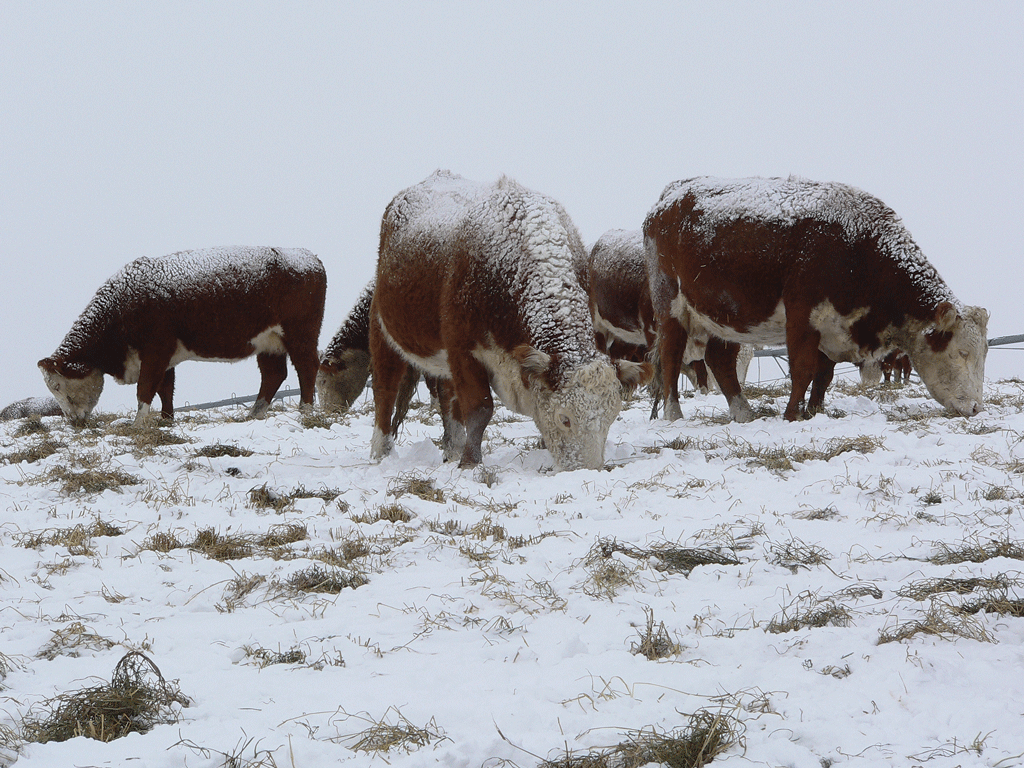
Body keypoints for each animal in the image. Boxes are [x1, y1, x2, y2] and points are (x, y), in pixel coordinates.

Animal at [39, 246, 327, 426]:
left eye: (57, 386)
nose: (72, 421)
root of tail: (309, 257)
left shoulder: (155, 351)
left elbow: (146, 389)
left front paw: (138, 424)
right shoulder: (165, 356)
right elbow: (165, 389)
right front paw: (167, 420)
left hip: (300, 335)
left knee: (307, 368)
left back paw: (305, 411)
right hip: (268, 343)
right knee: (273, 375)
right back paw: (253, 415)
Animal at [369, 170, 650, 471]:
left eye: (610, 418)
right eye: (565, 419)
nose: (587, 470)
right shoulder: (463, 348)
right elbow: (480, 408)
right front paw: (470, 463)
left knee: (446, 395)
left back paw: (452, 448)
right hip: (382, 330)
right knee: (385, 391)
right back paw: (381, 452)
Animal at [643, 176, 988, 422]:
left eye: (983, 354)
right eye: (961, 352)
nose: (976, 408)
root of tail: (670, 196)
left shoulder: (832, 325)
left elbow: (824, 375)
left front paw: (814, 411)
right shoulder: (802, 315)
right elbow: (803, 369)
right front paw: (792, 415)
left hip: (722, 316)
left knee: (720, 359)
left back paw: (743, 412)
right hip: (670, 306)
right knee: (671, 357)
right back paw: (673, 414)